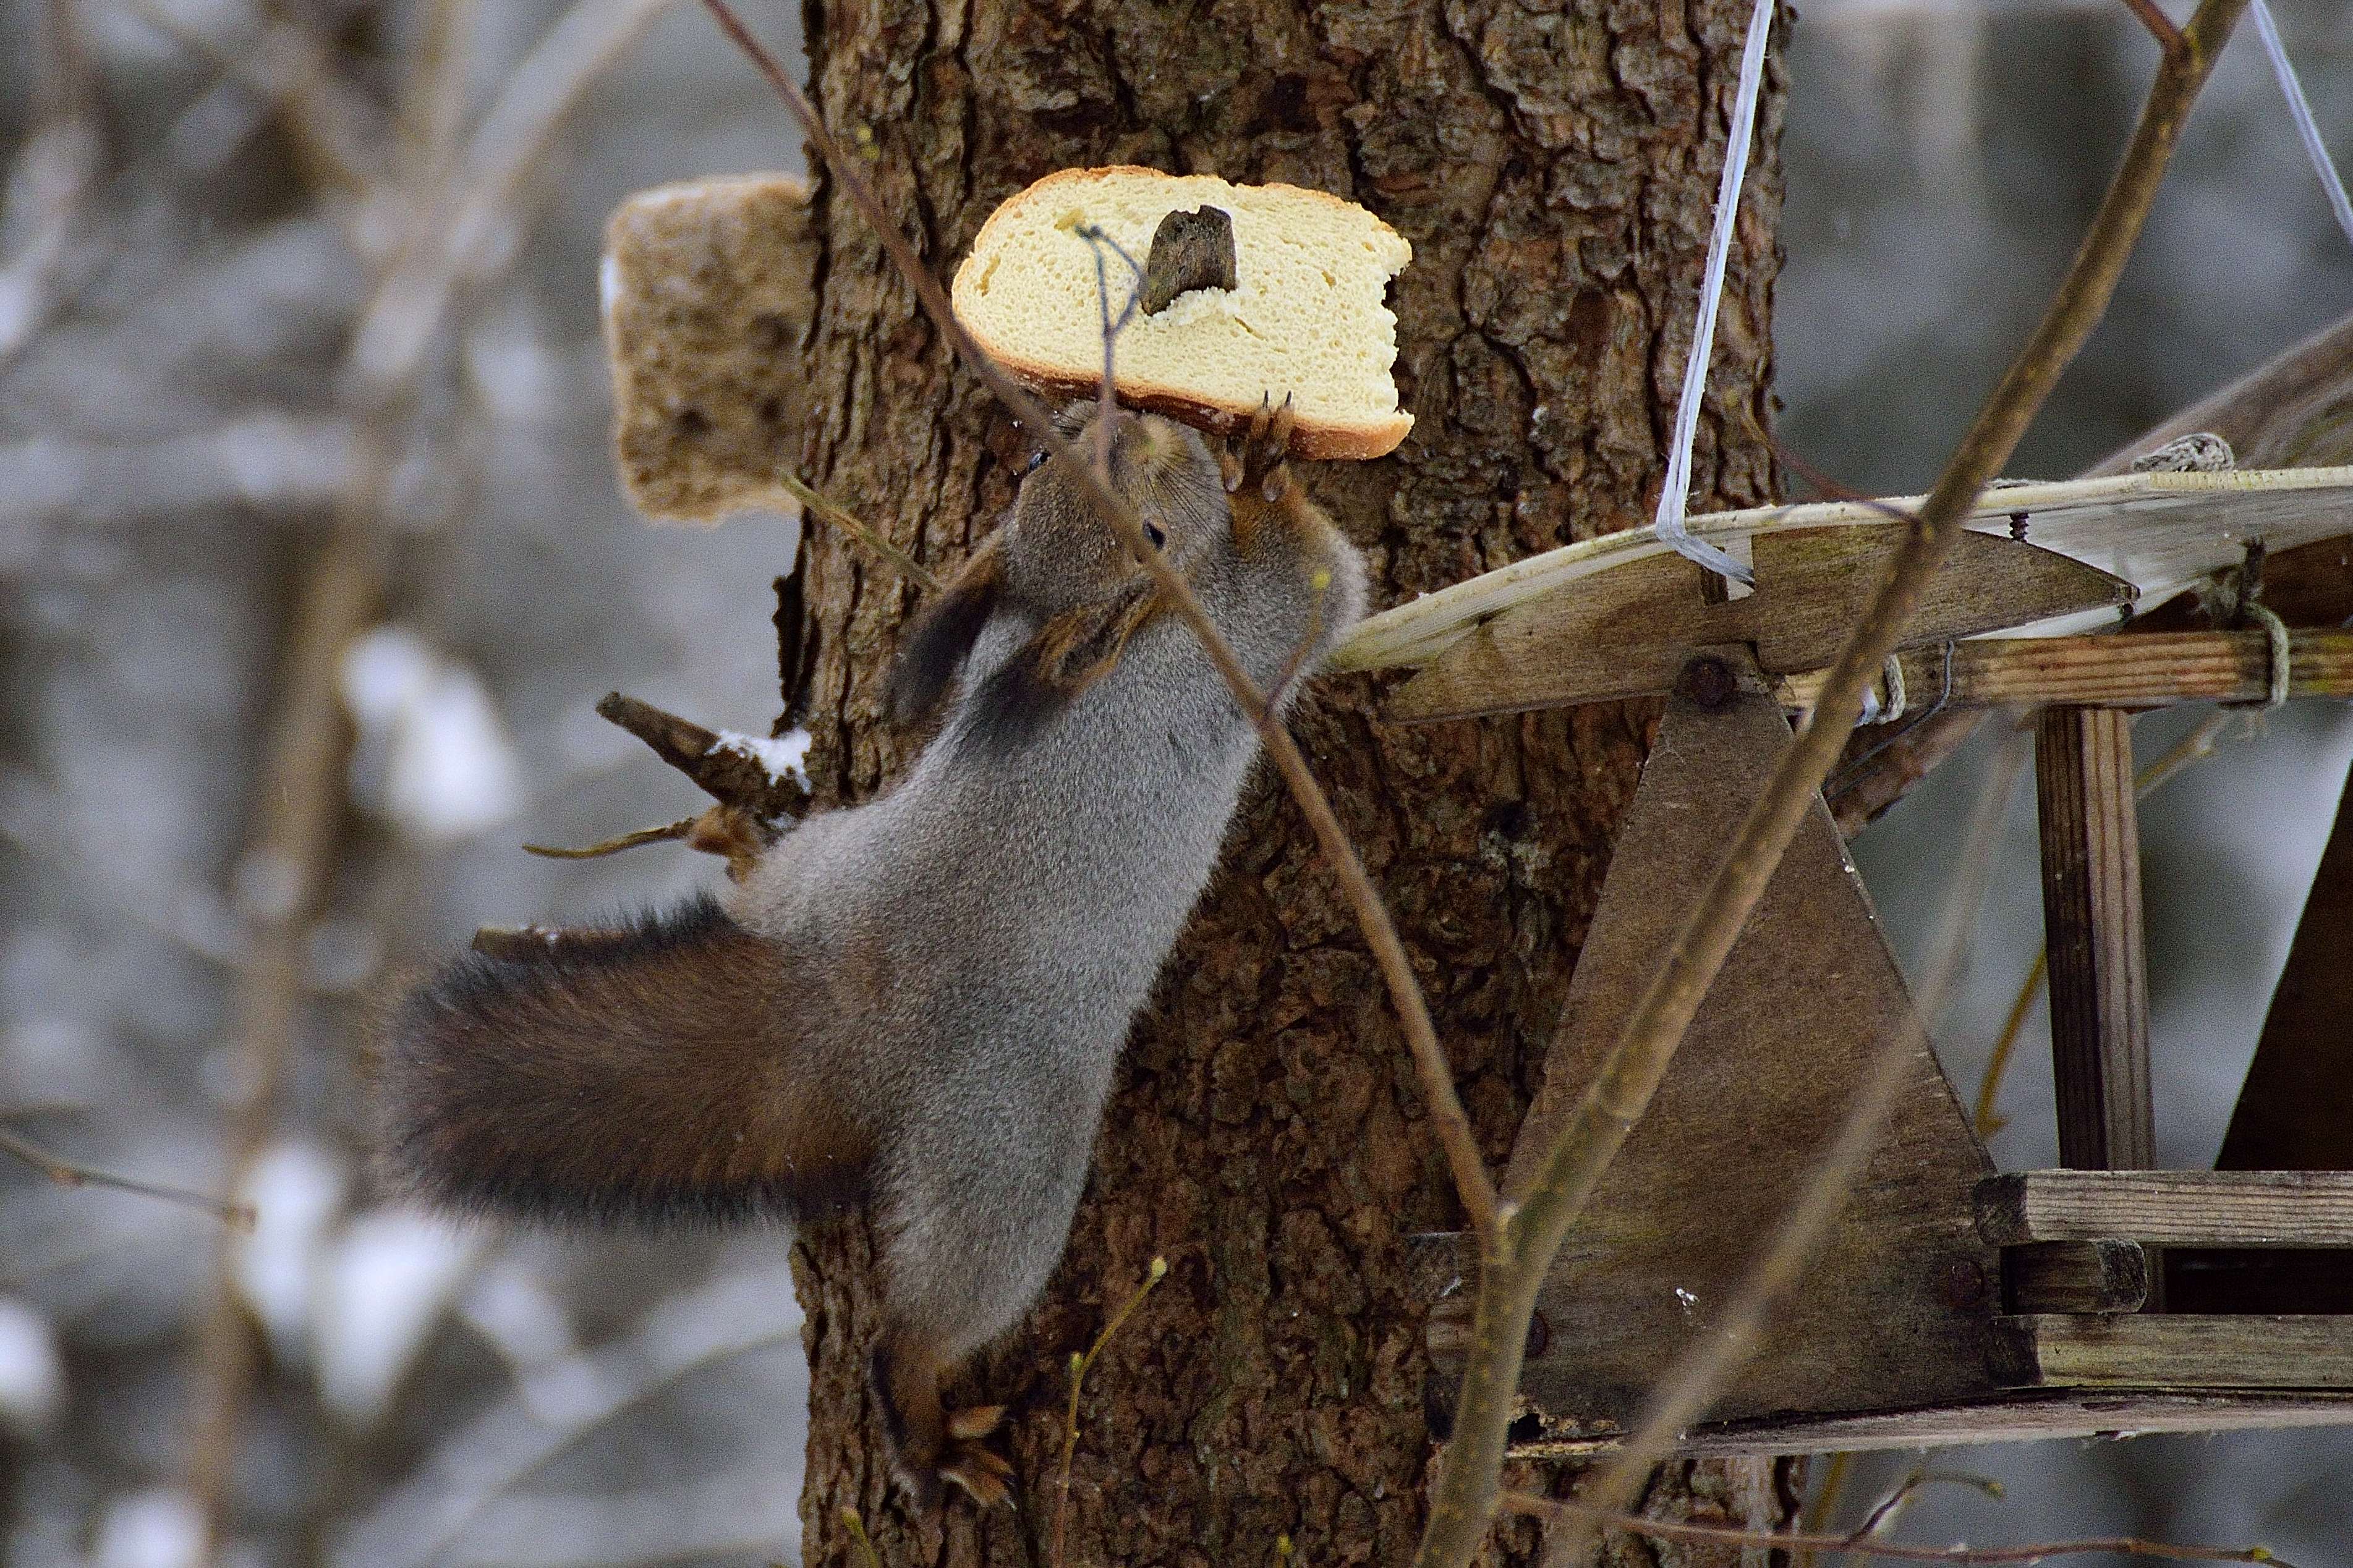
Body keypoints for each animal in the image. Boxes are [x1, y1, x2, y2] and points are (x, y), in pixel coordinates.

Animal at [376, 402, 1374, 1504]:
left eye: (1043, 455)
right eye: (1117, 494)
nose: (1125, 417)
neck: (1101, 613)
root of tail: (848, 1004)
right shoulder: (1256, 617)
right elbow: (1324, 570)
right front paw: (1271, 462)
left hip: (827, 866)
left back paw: (737, 839)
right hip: (1003, 1164)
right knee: (921, 1326)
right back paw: (933, 1437)